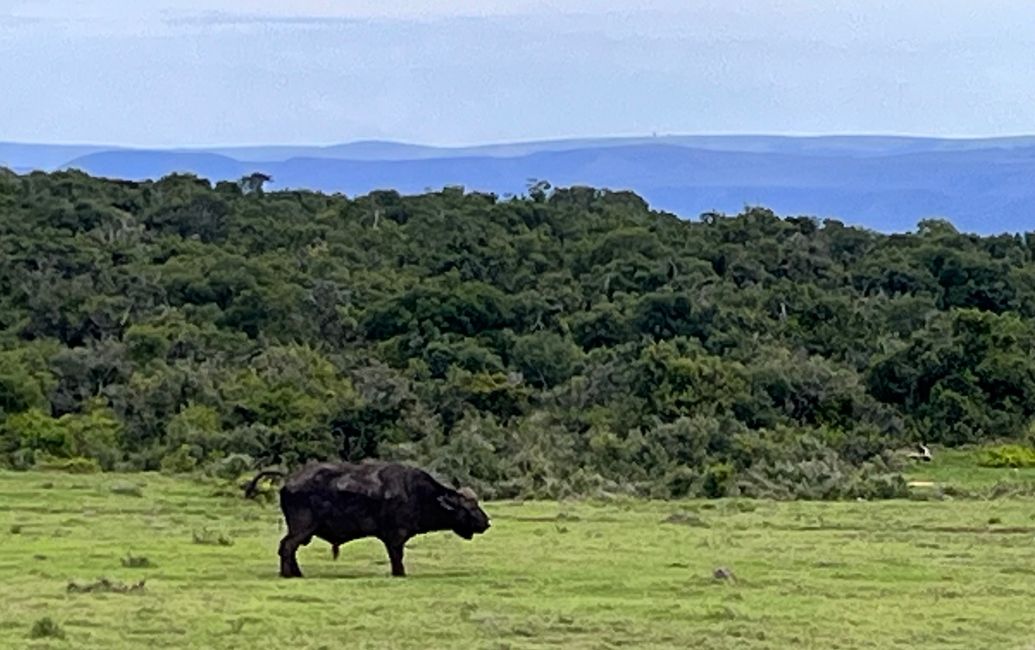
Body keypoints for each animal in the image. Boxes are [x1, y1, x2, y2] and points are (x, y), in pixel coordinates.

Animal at [242, 461, 488, 579]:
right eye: (469, 508)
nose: (486, 523)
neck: (417, 493)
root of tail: (289, 478)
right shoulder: (395, 537)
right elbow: (397, 557)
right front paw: (400, 574)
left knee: (289, 548)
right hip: (303, 527)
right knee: (287, 547)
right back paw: (289, 575)